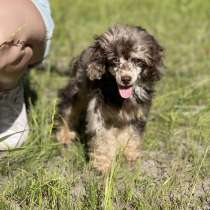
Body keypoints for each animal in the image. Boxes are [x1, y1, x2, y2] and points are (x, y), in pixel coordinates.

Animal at [56, 24, 164, 172]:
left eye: (137, 60)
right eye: (115, 60)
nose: (125, 79)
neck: (119, 95)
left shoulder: (137, 113)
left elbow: (132, 134)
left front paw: (130, 153)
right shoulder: (99, 114)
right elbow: (102, 139)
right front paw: (103, 164)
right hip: (78, 88)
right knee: (67, 107)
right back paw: (64, 134)